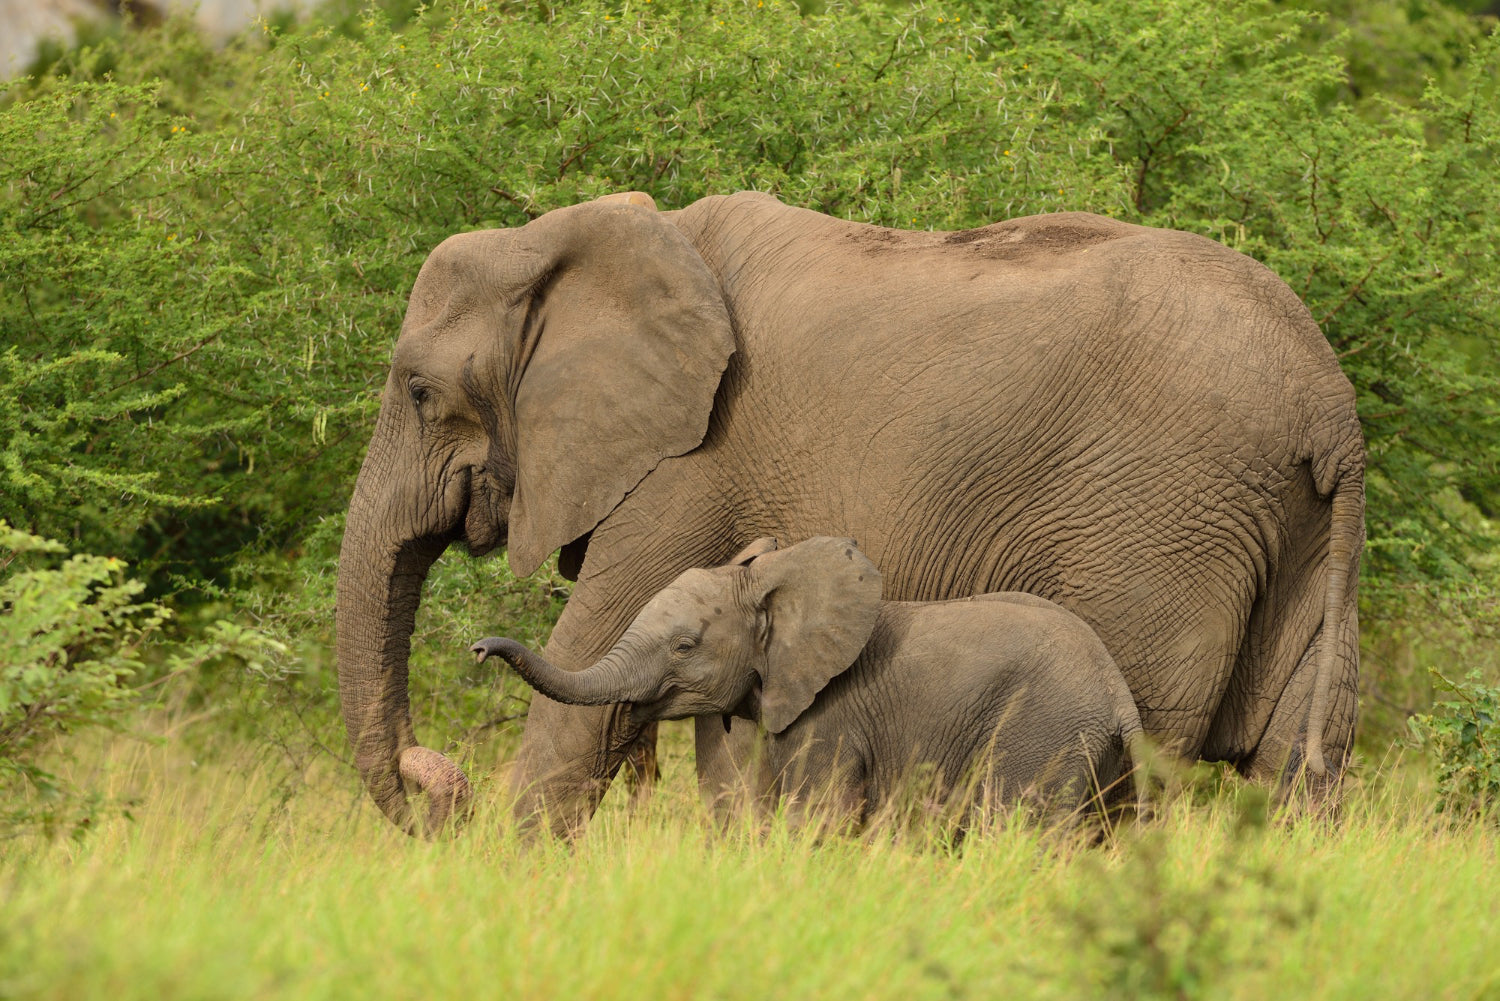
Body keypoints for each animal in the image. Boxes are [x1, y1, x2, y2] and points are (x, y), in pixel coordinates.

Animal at [471, 537, 1146, 830]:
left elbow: (818, 816)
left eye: (685, 647)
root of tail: (1117, 695)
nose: (478, 649)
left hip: (1042, 736)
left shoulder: (832, 717)